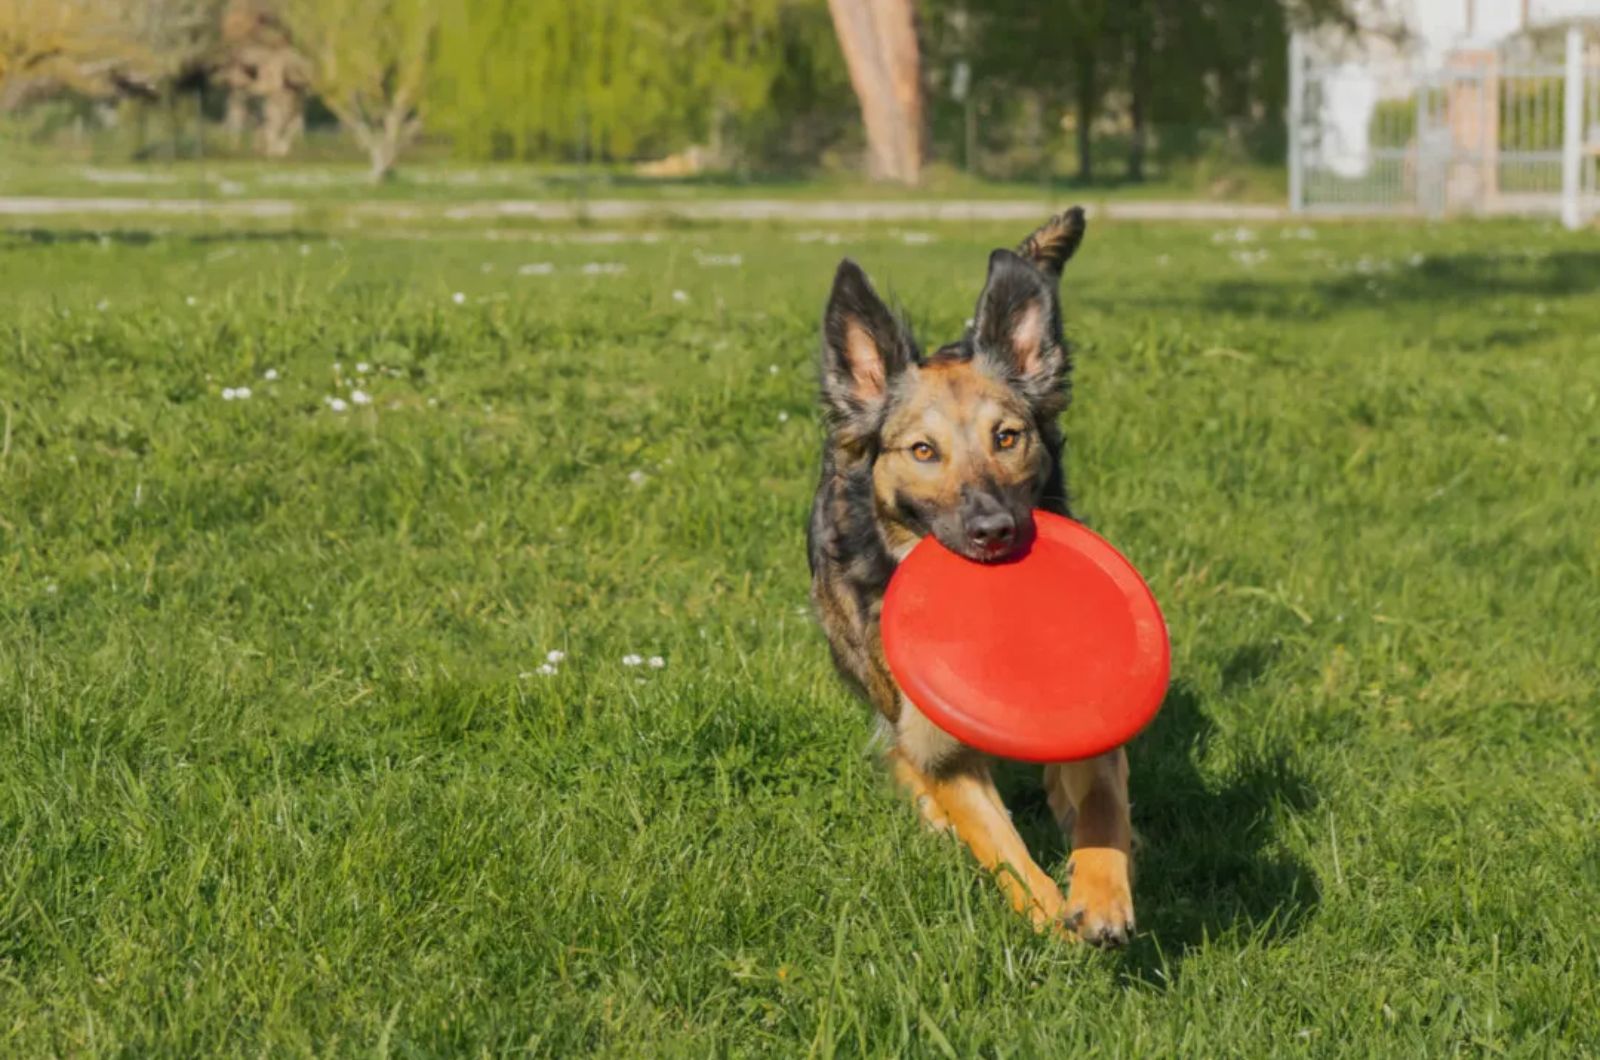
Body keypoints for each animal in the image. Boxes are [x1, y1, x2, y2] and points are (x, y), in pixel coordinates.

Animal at [806, 208, 1132, 947]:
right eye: (924, 451)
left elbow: (1101, 795)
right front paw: (1048, 916)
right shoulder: (939, 744)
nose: (994, 531)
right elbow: (999, 843)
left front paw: (1100, 897)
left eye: (1006, 437)